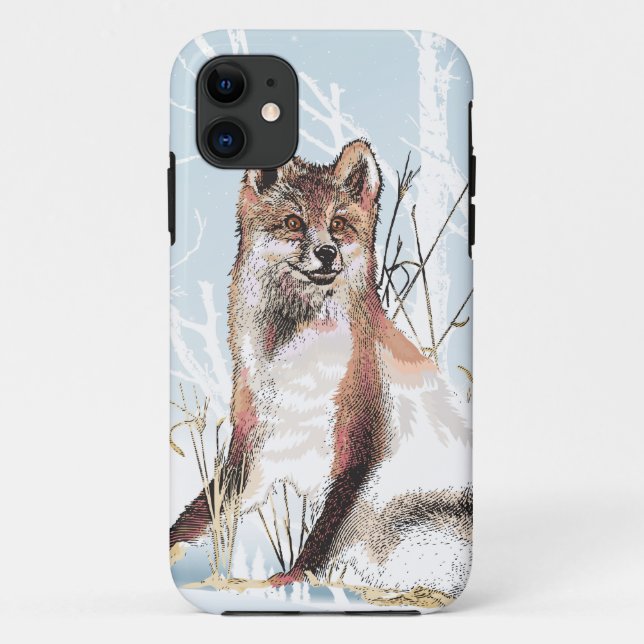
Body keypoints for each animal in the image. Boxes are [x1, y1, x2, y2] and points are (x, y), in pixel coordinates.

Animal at [171, 140, 472, 597]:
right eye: (294, 222)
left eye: (339, 223)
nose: (326, 252)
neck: (297, 370)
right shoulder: (252, 449)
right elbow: (198, 519)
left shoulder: (358, 448)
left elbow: (320, 539)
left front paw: (291, 583)